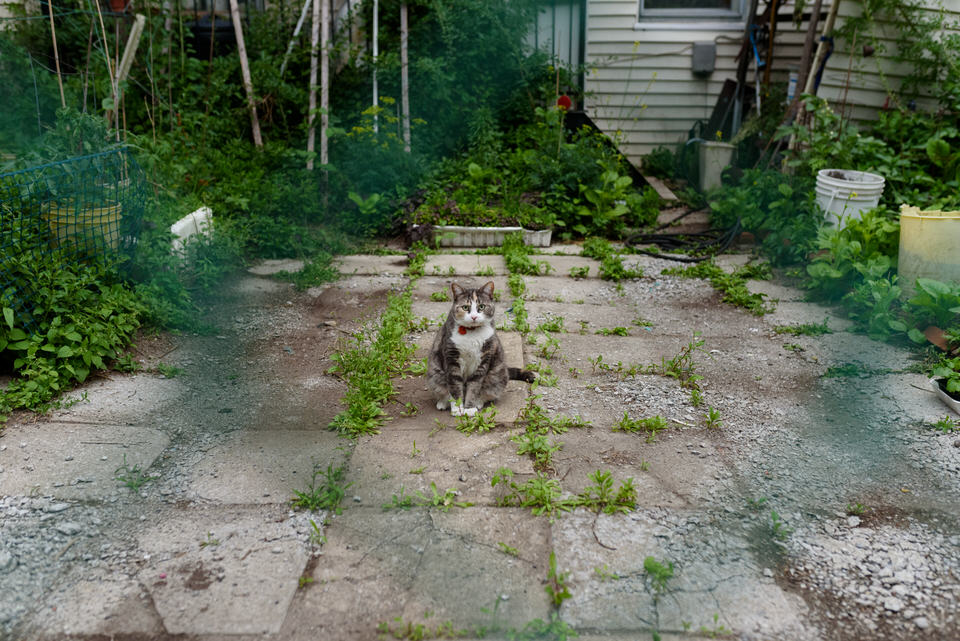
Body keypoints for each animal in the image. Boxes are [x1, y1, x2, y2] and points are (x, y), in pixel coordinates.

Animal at [430, 280, 536, 416]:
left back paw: (478, 402)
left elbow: (474, 386)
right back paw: (443, 403)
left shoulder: (484, 359)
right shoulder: (451, 358)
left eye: (481, 307)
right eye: (465, 307)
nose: (474, 317)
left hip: (497, 375)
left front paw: (469, 408)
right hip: (435, 374)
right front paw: (458, 408)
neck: (472, 334)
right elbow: (454, 385)